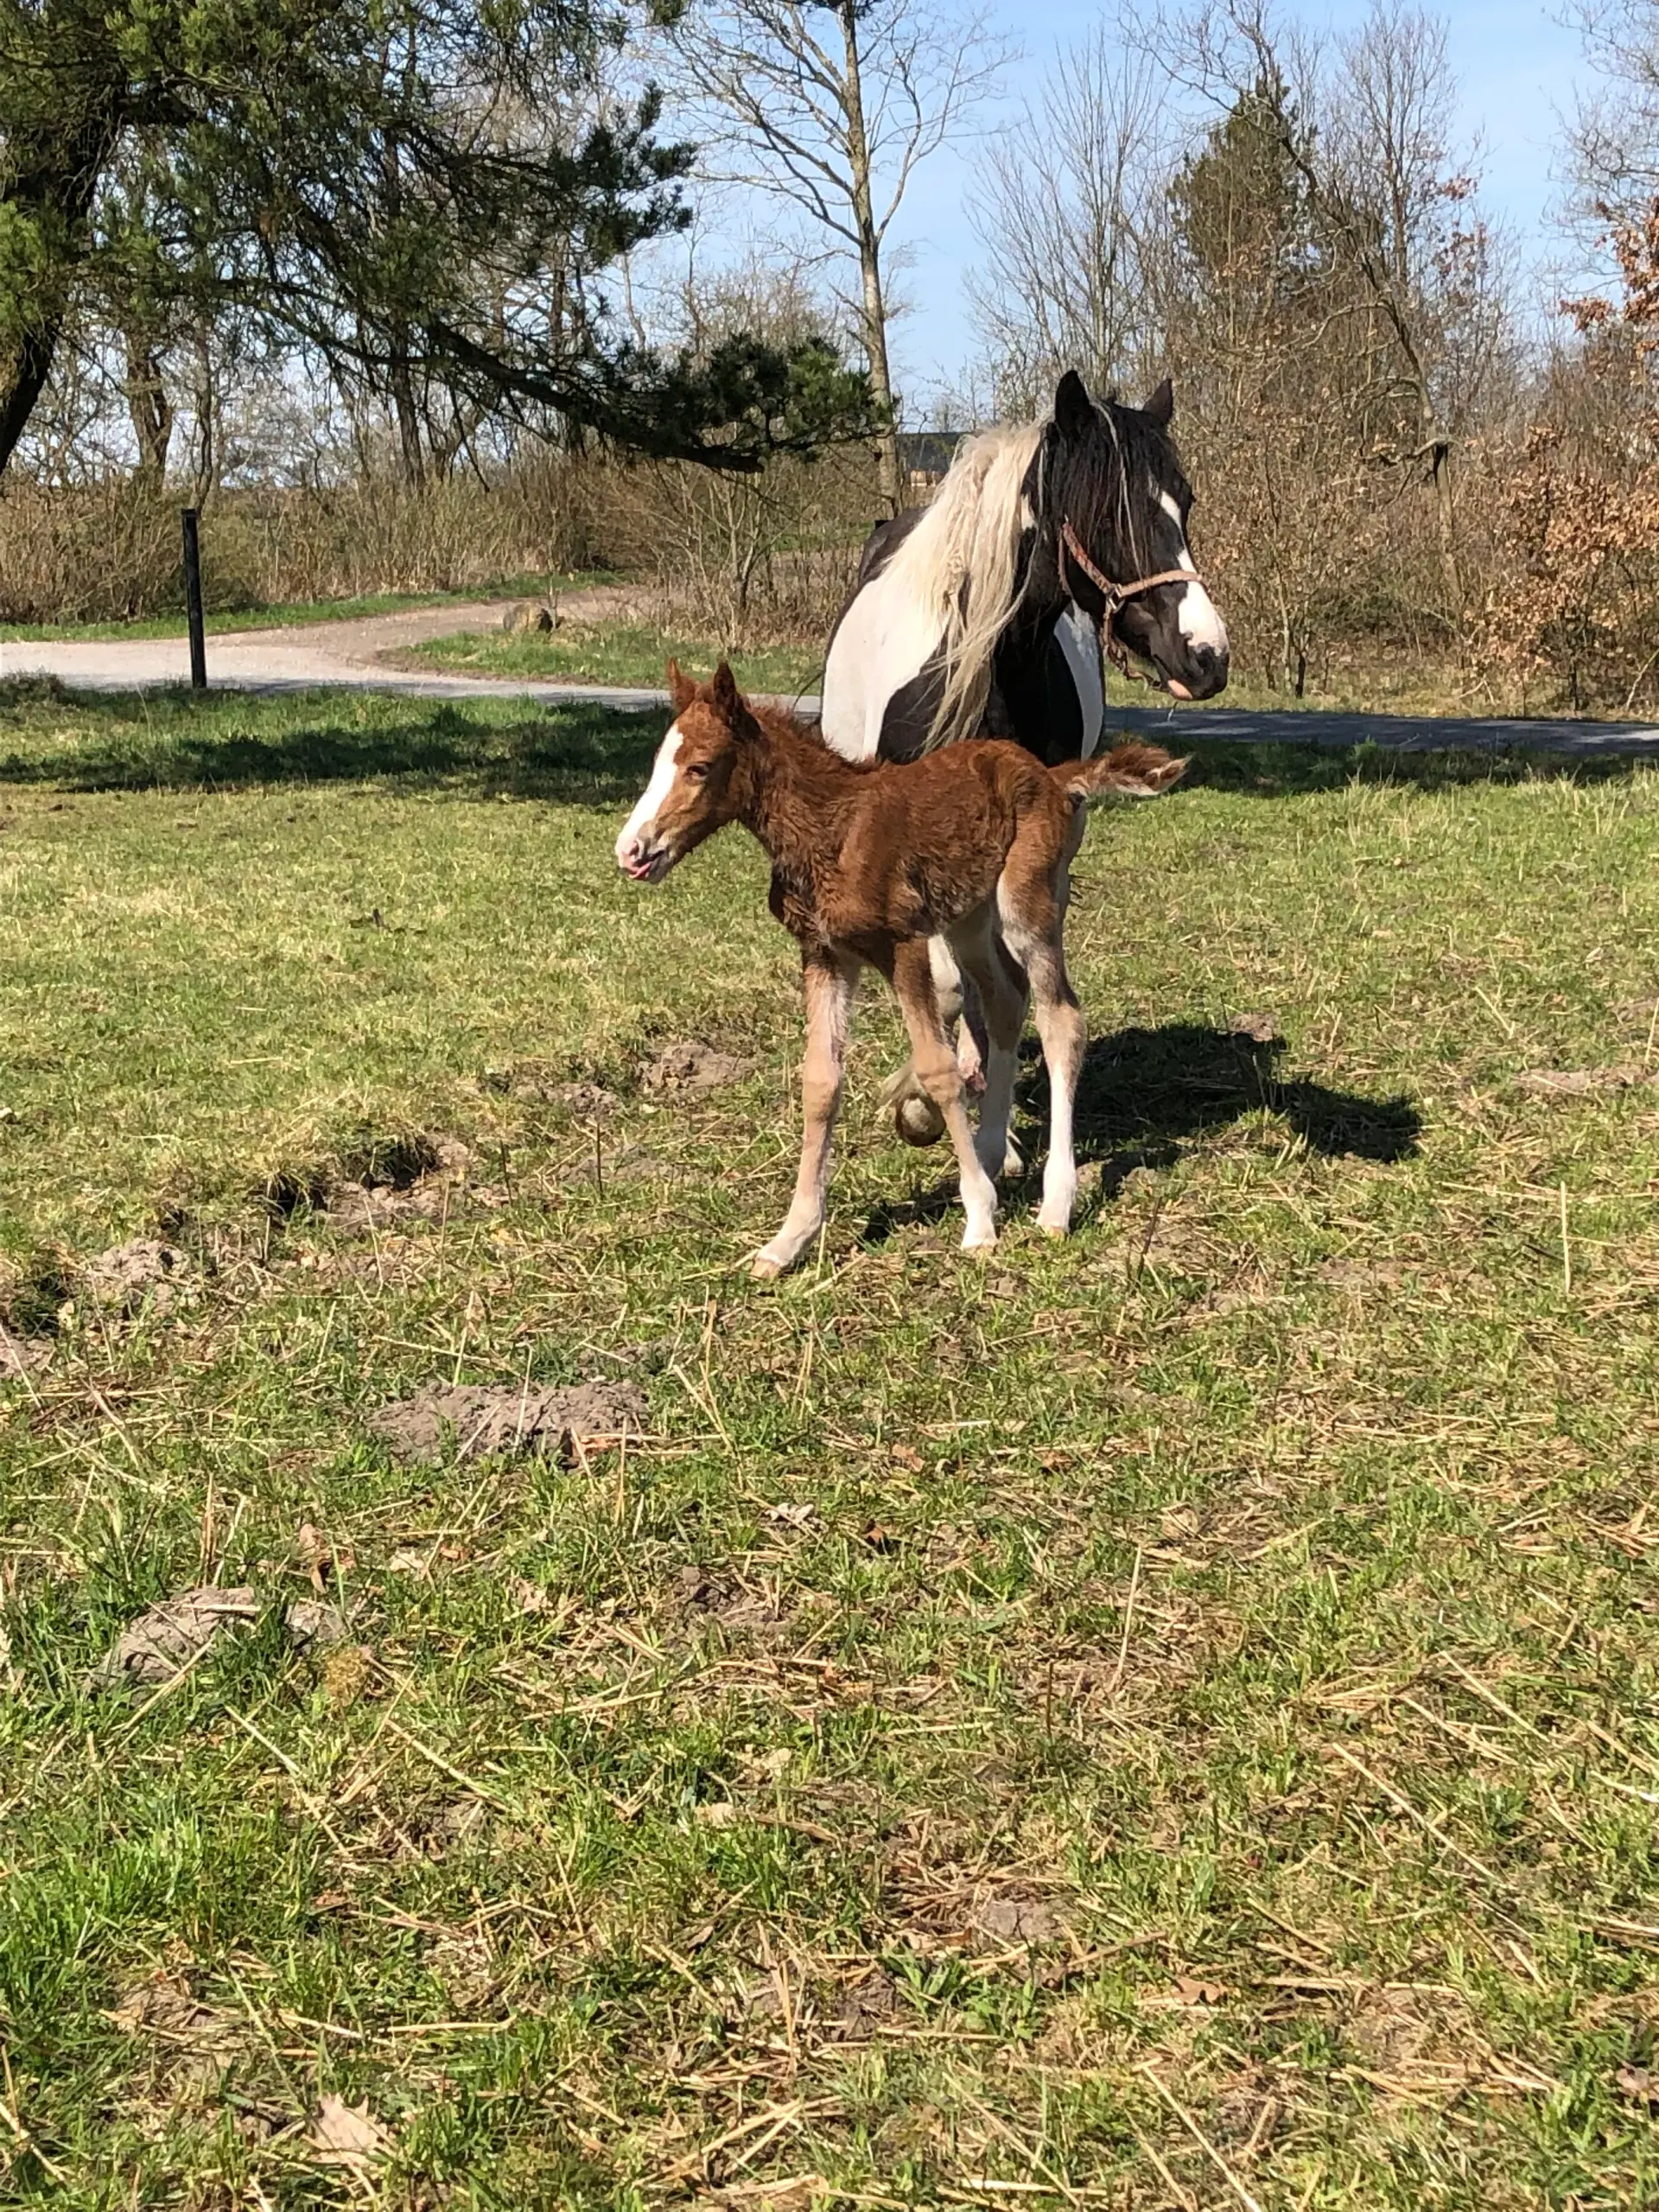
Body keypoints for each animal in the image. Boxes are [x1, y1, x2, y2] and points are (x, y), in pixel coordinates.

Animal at [619, 658, 1185, 1282]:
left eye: (699, 767)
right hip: (968, 917)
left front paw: (980, 1221)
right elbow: (821, 1082)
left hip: (1028, 902)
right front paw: (789, 1239)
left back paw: (1056, 1205)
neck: (830, 828)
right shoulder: (826, 953)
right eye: (656, 762)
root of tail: (1055, 776)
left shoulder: (904, 944)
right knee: (1005, 998)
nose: (632, 851)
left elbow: (937, 1068)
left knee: (1061, 1016)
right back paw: (991, 1151)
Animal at [823, 365, 1238, 1150]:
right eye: (1108, 513)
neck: (986, 670)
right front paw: (926, 1104)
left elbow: (997, 984)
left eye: (1188, 501)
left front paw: (986, 1119)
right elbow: (951, 983)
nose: (1206, 655)